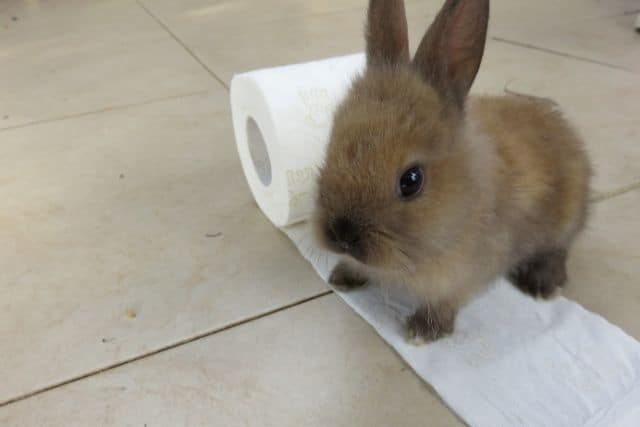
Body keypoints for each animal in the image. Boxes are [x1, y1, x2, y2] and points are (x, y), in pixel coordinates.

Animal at [313, 0, 591, 343]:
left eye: (411, 180)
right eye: (331, 146)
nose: (342, 234)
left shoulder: (464, 276)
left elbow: (444, 302)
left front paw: (423, 331)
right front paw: (342, 277)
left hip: (565, 221)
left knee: (559, 249)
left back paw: (542, 284)